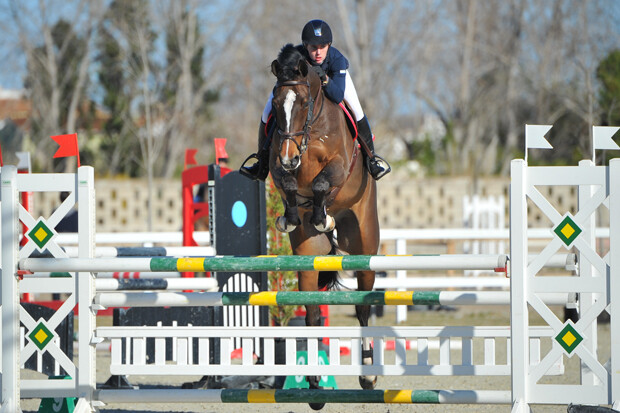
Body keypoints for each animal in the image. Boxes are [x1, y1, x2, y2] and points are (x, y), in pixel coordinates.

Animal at [266, 43, 378, 404]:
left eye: (303, 102)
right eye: (276, 104)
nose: (290, 157)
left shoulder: (339, 166)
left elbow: (321, 184)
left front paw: (322, 216)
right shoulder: (276, 165)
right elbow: (289, 184)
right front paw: (290, 217)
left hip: (365, 247)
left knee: (363, 307)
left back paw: (368, 375)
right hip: (306, 258)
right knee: (312, 311)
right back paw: (314, 381)